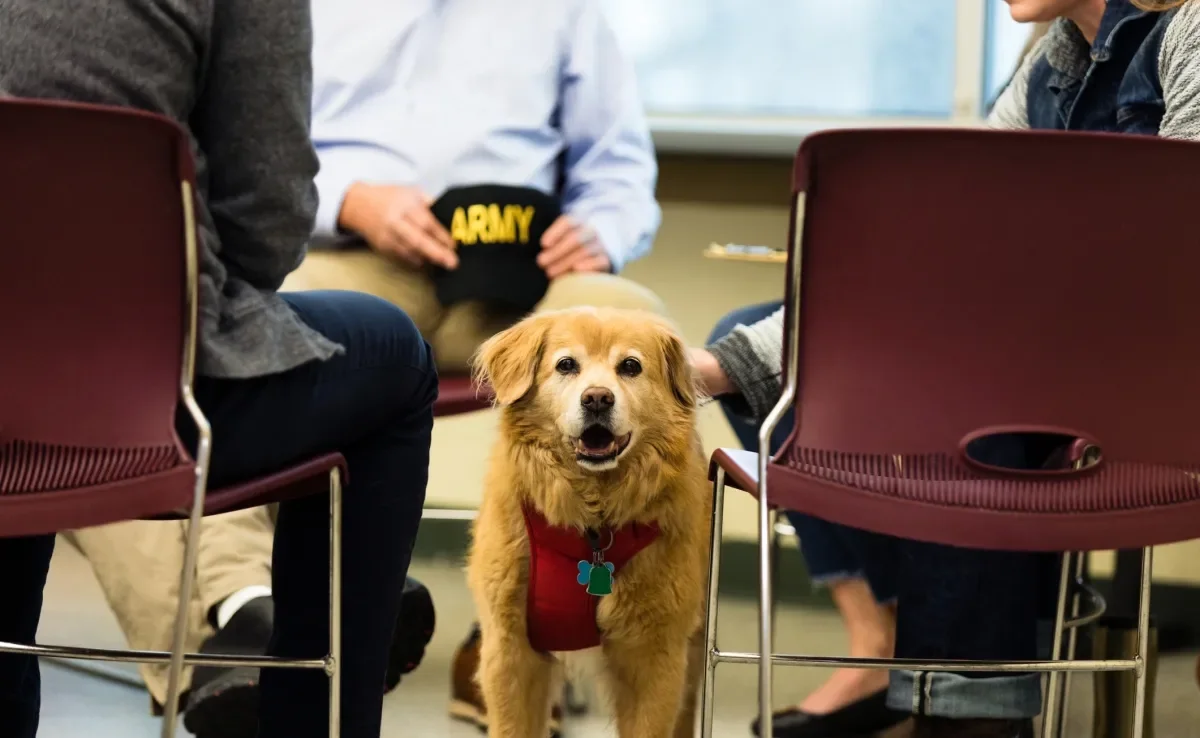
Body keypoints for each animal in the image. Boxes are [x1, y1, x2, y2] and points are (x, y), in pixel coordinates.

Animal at [468, 307, 710, 738]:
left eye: (630, 366)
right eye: (566, 364)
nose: (597, 398)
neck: (592, 527)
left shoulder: (656, 660)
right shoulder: (510, 653)